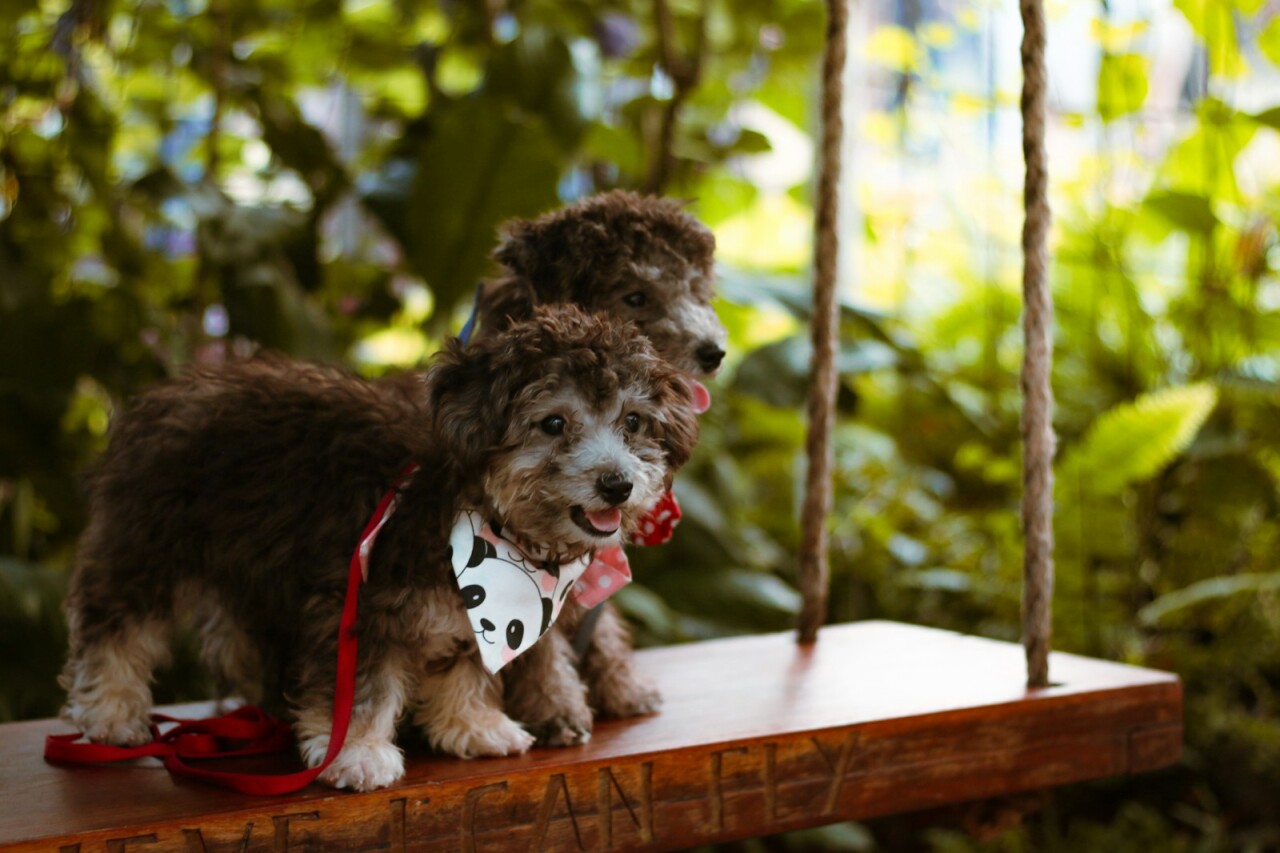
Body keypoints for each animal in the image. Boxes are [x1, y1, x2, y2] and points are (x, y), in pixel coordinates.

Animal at [57, 306, 701, 788]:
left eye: (634, 422)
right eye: (554, 423)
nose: (616, 484)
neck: (476, 511)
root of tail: (169, 392)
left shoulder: (476, 614)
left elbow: (466, 667)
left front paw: (473, 725)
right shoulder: (360, 602)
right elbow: (361, 687)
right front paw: (356, 753)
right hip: (148, 545)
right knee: (114, 625)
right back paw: (110, 711)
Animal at [476, 189, 727, 732]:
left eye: (696, 290)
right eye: (634, 297)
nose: (714, 352)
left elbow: (601, 617)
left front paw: (619, 684)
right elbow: (534, 631)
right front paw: (555, 705)